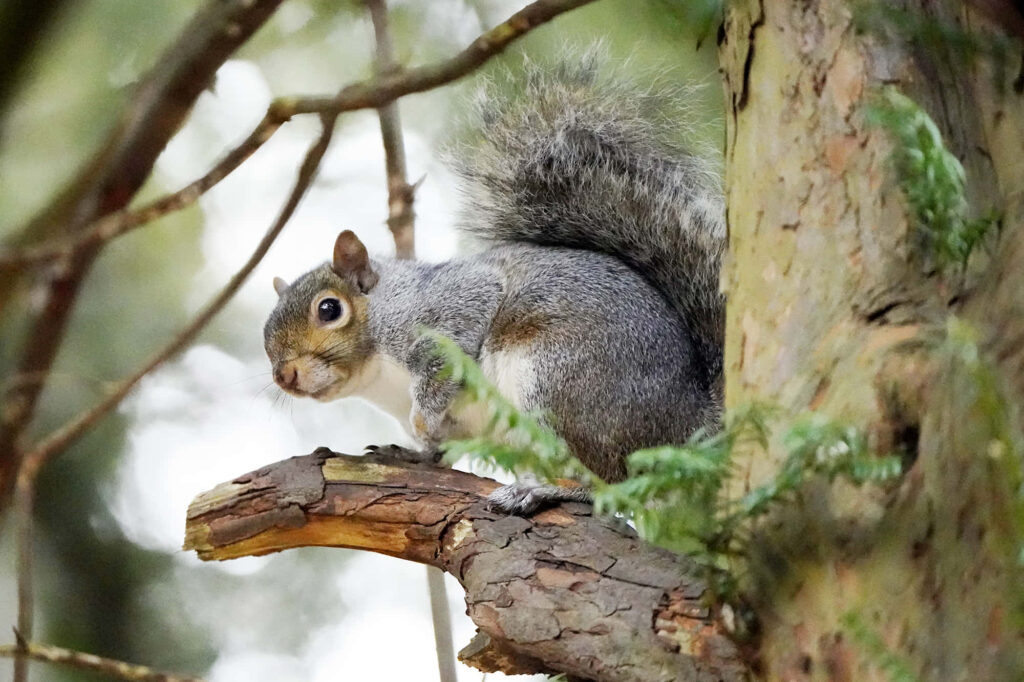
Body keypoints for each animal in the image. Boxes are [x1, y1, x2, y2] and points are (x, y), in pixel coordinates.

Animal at [263, 54, 725, 513]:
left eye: (329, 309)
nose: (284, 375)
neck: (378, 377)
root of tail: (689, 422)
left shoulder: (447, 308)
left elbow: (445, 358)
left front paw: (422, 421)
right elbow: (439, 448)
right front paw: (412, 452)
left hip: (563, 381)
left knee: (609, 478)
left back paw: (546, 489)